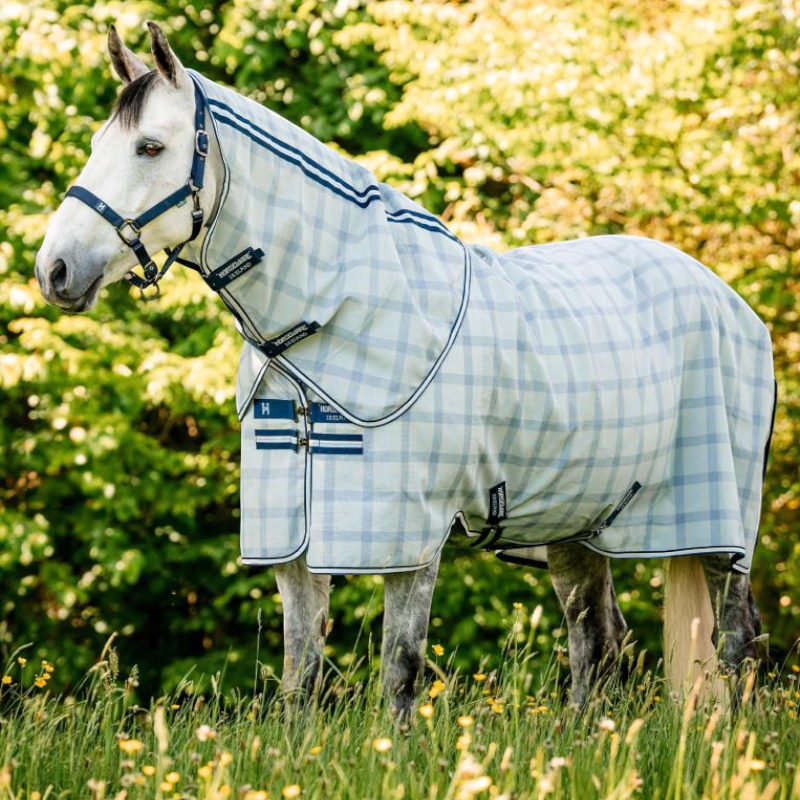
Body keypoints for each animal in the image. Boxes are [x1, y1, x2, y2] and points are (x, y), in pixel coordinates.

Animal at [35, 23, 775, 715]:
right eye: (99, 144)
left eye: (150, 147)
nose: (55, 270)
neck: (328, 322)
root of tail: (733, 304)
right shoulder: (293, 543)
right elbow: (299, 676)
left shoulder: (408, 536)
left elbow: (399, 669)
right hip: (580, 524)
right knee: (597, 642)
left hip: (720, 532)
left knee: (734, 643)